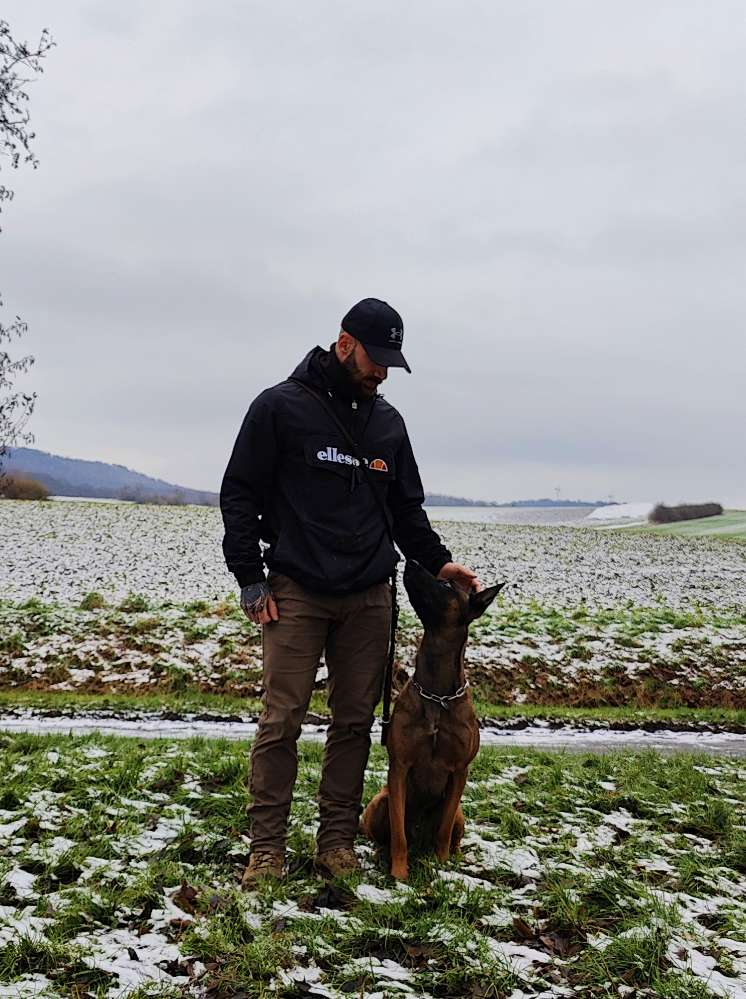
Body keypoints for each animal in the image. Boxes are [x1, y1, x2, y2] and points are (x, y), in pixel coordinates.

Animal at [358, 564, 502, 884]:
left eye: (447, 585)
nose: (410, 563)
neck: (438, 695)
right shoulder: (399, 768)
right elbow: (398, 834)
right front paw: (399, 873)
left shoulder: (460, 771)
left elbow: (444, 829)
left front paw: (443, 866)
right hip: (380, 802)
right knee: (386, 833)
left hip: (460, 812)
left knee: (452, 831)